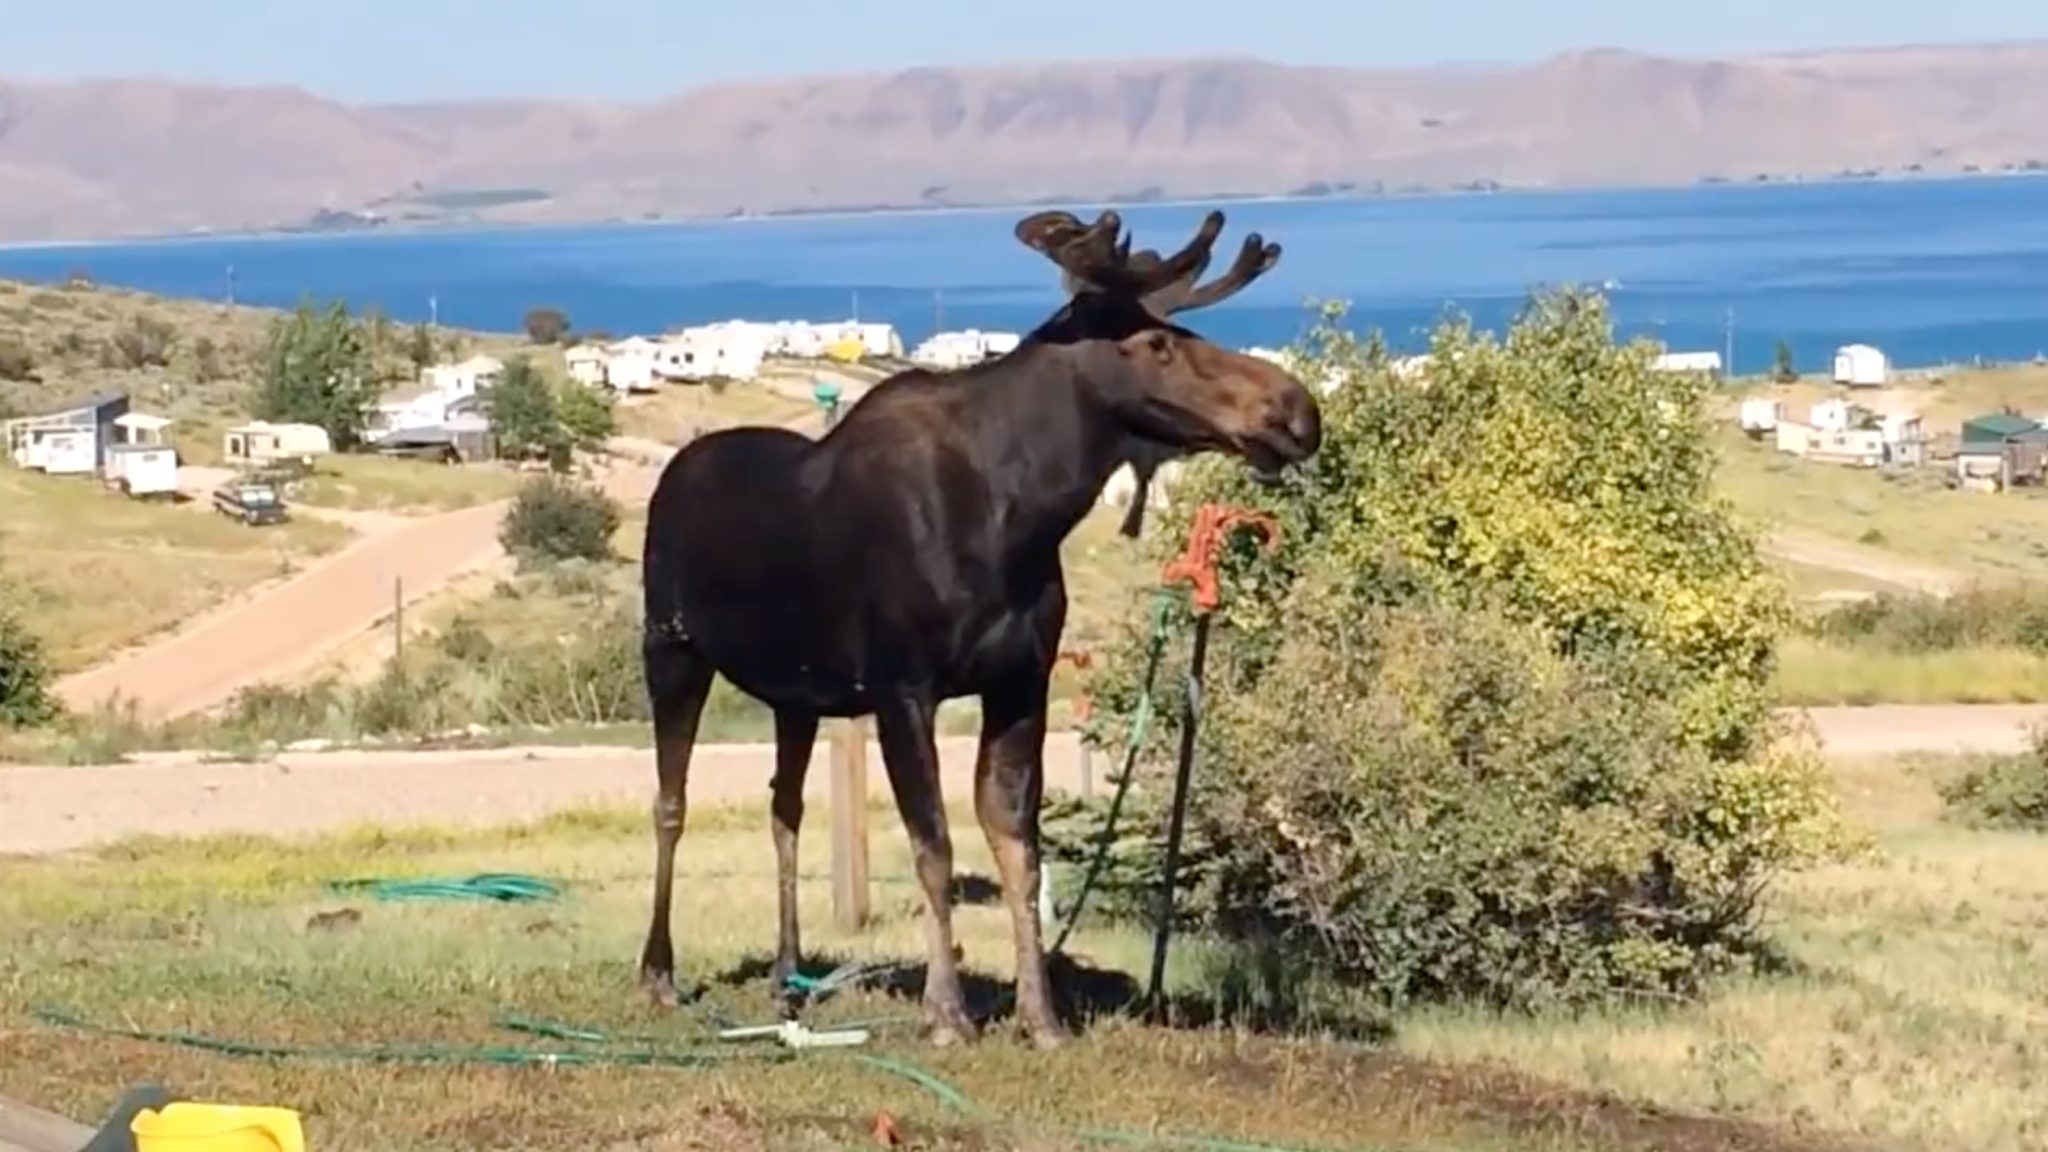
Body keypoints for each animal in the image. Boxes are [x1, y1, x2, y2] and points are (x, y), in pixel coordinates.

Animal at [636, 206, 1317, 1050]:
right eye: (1156, 344)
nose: (1298, 409)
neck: (1023, 513)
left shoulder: (1021, 680)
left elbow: (1018, 849)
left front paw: (1041, 1015)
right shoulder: (902, 686)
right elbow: (934, 846)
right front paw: (948, 1010)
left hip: (796, 696)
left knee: (783, 808)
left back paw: (788, 975)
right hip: (671, 647)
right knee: (670, 802)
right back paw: (659, 972)